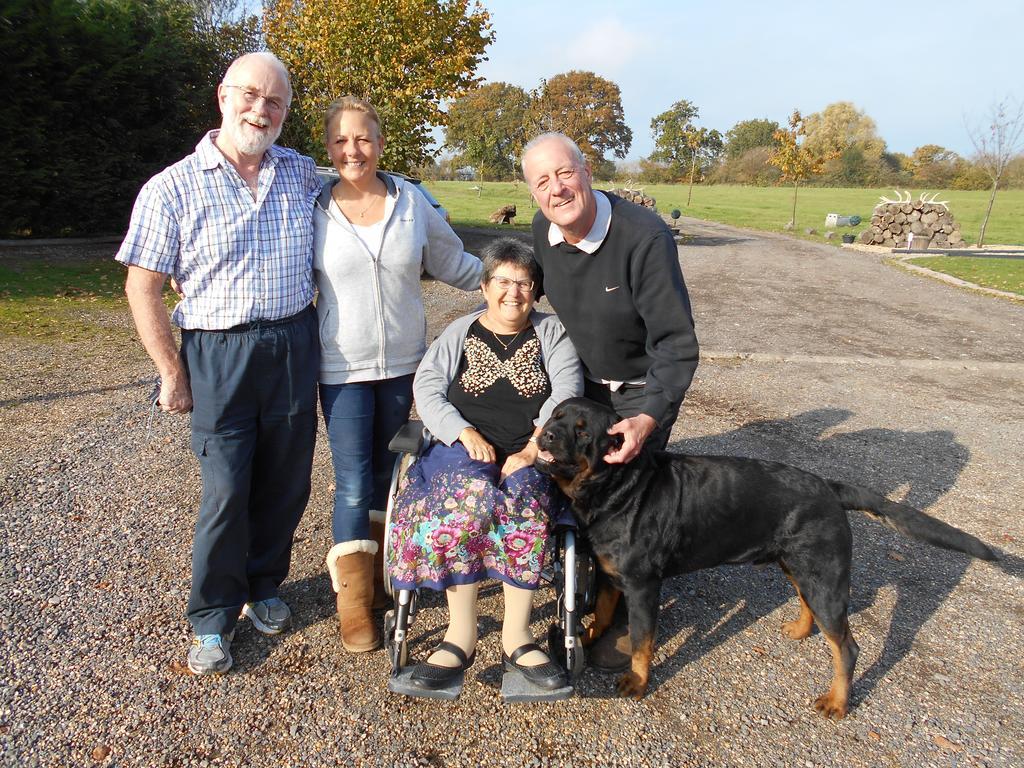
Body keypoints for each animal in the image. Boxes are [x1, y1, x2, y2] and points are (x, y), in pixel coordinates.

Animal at [532, 399, 995, 720]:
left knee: (846, 647)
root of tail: (830, 487)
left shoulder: (644, 584)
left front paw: (637, 681)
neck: (617, 487)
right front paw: (584, 638)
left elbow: (643, 641)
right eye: (556, 415)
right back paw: (800, 630)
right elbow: (602, 611)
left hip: (825, 577)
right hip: (798, 565)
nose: (546, 435)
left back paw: (837, 701)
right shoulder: (610, 573)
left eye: (582, 432)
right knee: (810, 606)